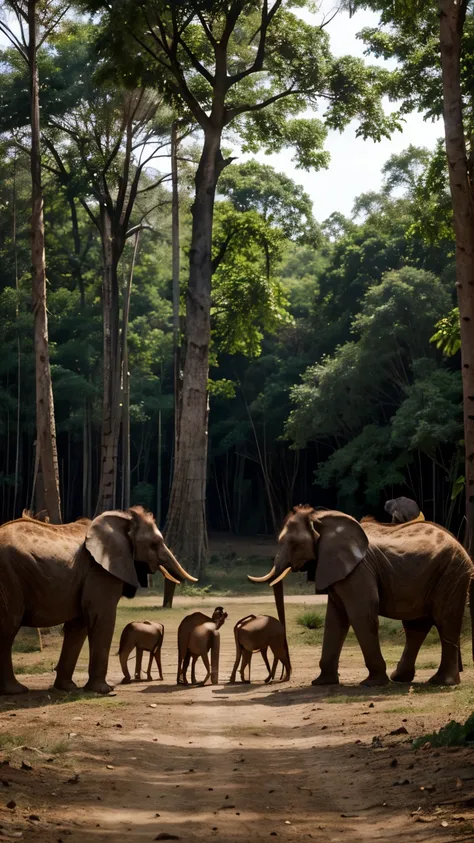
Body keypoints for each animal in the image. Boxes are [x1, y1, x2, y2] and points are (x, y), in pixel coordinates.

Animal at [0, 504, 196, 696]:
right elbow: (101, 617)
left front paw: (68, 688)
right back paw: (15, 690)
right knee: (9, 627)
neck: (122, 519)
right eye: (154, 544)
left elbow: (78, 626)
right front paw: (106, 691)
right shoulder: (100, 571)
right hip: (9, 578)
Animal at [248, 504, 474, 688]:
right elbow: (335, 618)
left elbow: (360, 613)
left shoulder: (358, 570)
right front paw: (321, 682)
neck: (321, 519)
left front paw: (372, 683)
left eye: (294, 544)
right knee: (416, 626)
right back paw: (401, 678)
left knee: (445, 621)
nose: (280, 679)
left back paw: (441, 682)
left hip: (452, 573)